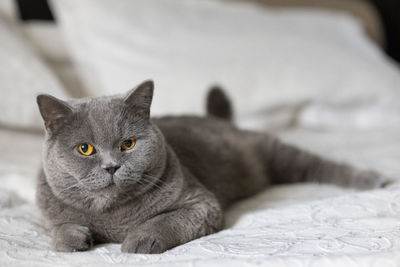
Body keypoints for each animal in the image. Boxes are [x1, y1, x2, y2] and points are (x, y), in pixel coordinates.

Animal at [36, 80, 388, 254]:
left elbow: (164, 220)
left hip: (273, 152)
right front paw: (73, 239)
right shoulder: (49, 210)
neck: (113, 216)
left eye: (128, 144)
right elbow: (58, 229)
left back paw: (375, 179)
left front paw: (139, 240)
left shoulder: (200, 204)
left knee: (318, 165)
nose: (111, 167)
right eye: (85, 149)